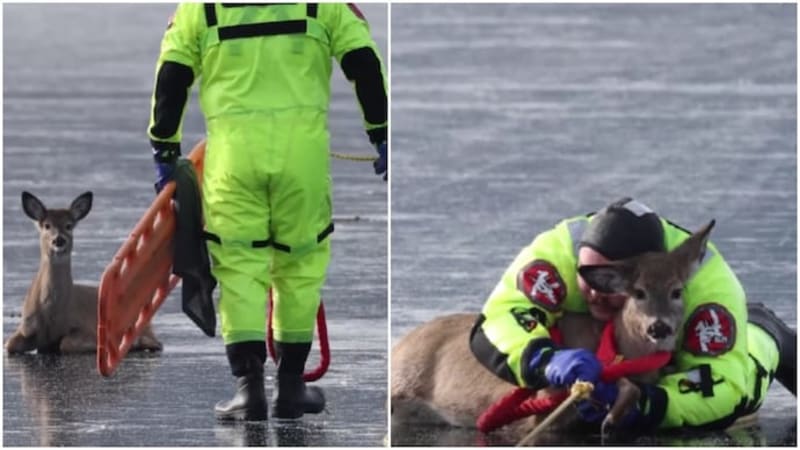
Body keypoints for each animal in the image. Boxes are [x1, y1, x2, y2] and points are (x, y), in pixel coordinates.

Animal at [5, 191, 162, 354]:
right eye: (47, 225)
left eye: (69, 225)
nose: (59, 240)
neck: (51, 317)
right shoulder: (26, 326)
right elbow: (9, 344)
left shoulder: (86, 328)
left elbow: (66, 343)